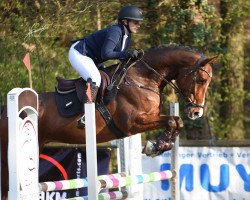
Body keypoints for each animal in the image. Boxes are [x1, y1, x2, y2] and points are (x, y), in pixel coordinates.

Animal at [0, 45, 217, 198]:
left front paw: (159, 145)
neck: (143, 78)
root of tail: (5, 110)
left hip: (39, 144)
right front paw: (154, 145)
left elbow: (176, 121)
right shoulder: (132, 123)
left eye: (208, 82)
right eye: (200, 80)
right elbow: (172, 121)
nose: (196, 112)